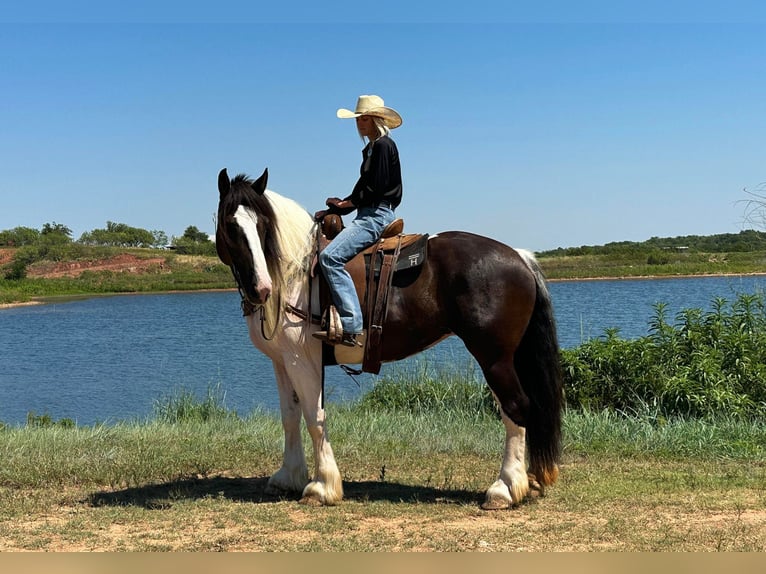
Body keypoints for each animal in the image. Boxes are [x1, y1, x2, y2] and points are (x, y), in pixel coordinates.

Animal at [216, 169, 564, 510]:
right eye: (231, 226)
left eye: (262, 225)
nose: (261, 288)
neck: (295, 274)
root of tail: (519, 257)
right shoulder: (283, 360)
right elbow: (290, 416)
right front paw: (287, 477)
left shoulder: (303, 359)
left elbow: (314, 418)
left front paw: (322, 487)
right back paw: (528, 481)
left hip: (494, 358)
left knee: (515, 408)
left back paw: (504, 489)